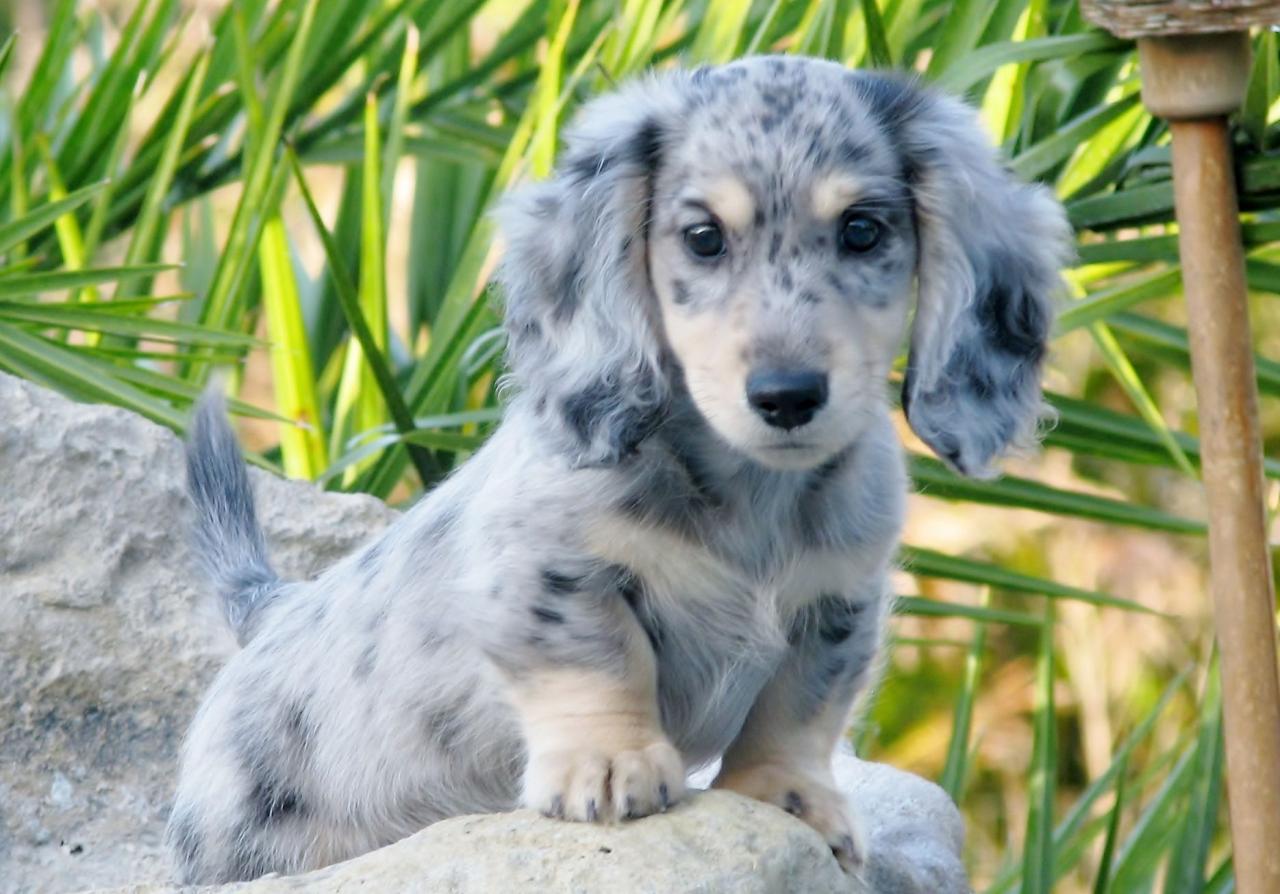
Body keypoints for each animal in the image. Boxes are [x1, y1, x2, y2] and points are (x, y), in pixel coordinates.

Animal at [170, 55, 1070, 886]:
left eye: (862, 230)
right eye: (704, 237)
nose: (787, 395)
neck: (750, 495)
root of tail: (270, 609)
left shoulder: (839, 599)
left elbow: (799, 706)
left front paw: (787, 796)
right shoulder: (550, 573)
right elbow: (600, 659)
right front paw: (609, 767)